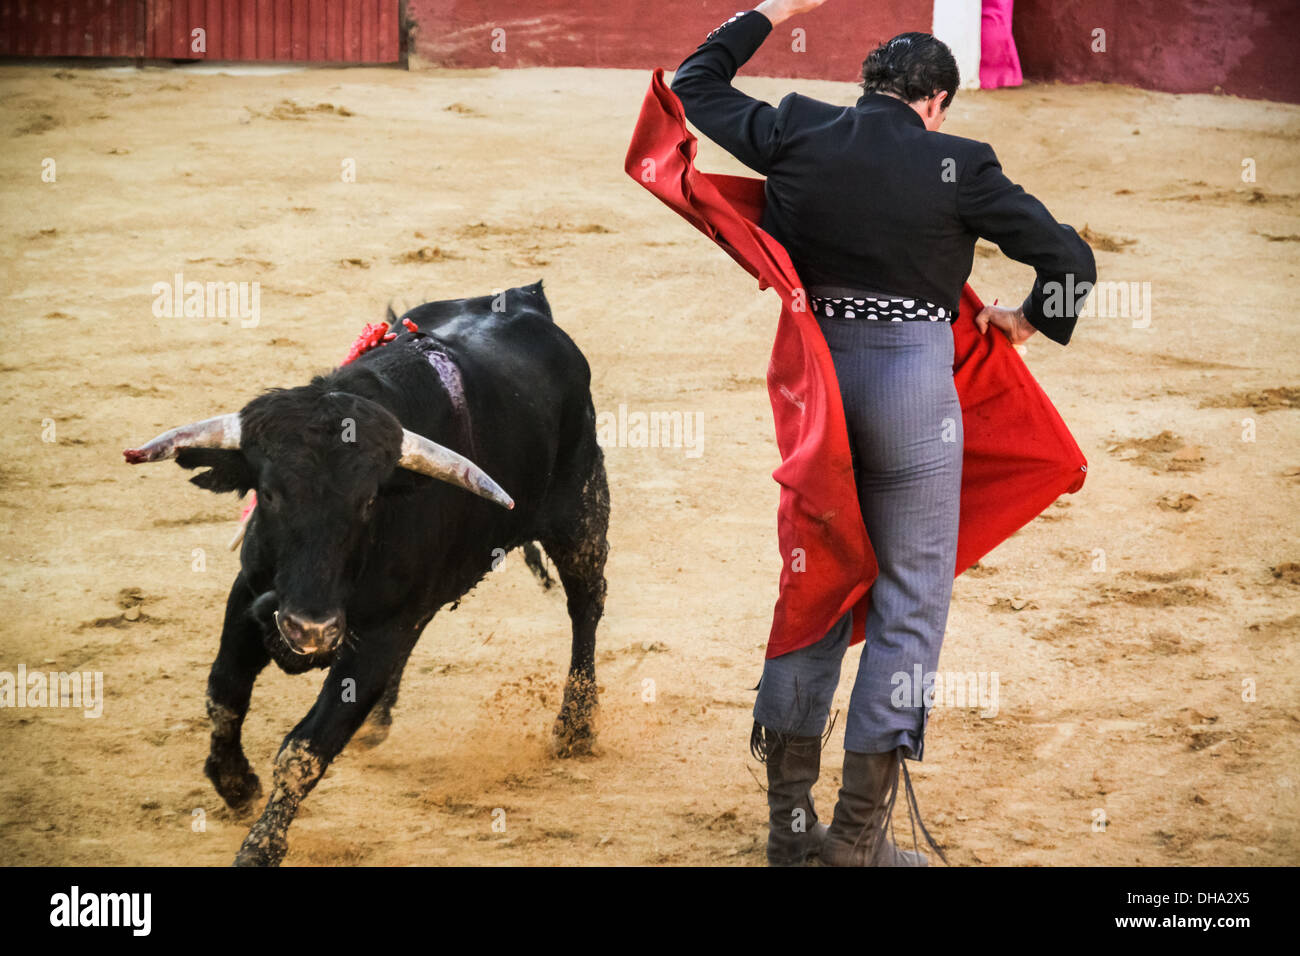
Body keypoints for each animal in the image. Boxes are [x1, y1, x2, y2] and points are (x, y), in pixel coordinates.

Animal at [122, 282, 608, 868]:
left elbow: (307, 746)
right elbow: (225, 691)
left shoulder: (376, 637)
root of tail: (526, 297)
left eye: (369, 501)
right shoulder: (250, 593)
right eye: (270, 493)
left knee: (585, 605)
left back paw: (575, 726)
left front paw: (260, 848)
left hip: (582, 512)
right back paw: (378, 722)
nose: (310, 632)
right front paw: (235, 785)